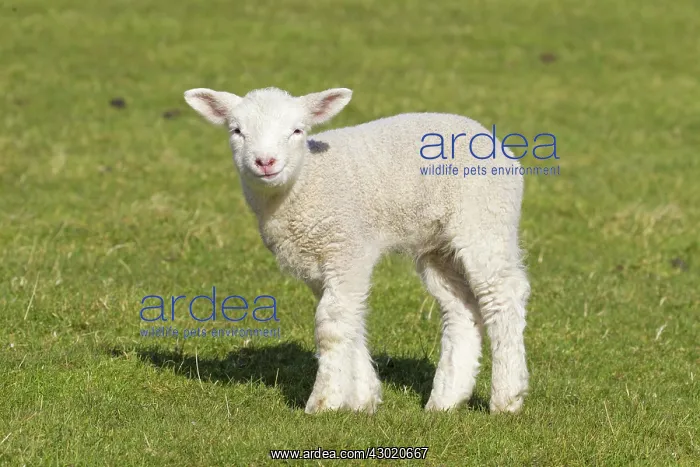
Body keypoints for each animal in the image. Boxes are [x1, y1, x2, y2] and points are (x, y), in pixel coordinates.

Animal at [183, 86, 531, 415]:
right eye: (236, 131)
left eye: (297, 130)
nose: (265, 162)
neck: (305, 182)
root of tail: (489, 137)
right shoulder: (318, 264)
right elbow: (349, 319)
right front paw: (364, 399)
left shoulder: (347, 248)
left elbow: (332, 326)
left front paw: (324, 402)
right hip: (438, 246)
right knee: (460, 309)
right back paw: (445, 400)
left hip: (485, 220)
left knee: (502, 295)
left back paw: (507, 398)